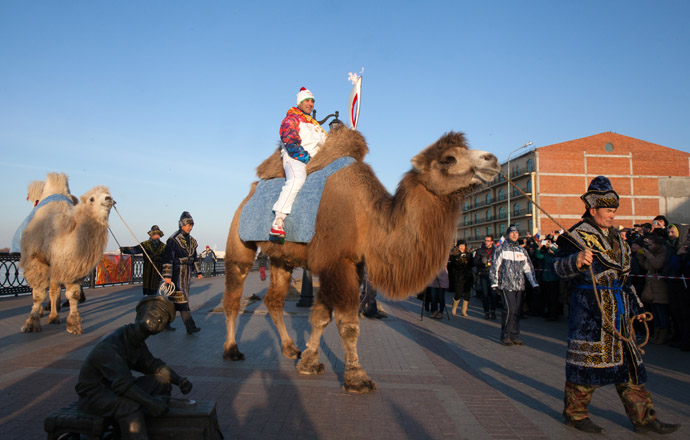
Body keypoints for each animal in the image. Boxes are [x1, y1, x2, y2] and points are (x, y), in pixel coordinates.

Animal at [220, 128, 494, 392]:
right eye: (449, 159)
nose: (492, 160)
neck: (367, 217)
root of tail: (249, 194)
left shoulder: (346, 265)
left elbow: (320, 317)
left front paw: (308, 362)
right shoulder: (337, 262)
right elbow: (348, 323)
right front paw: (357, 378)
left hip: (281, 259)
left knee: (274, 300)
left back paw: (290, 349)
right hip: (238, 241)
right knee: (233, 294)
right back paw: (232, 350)